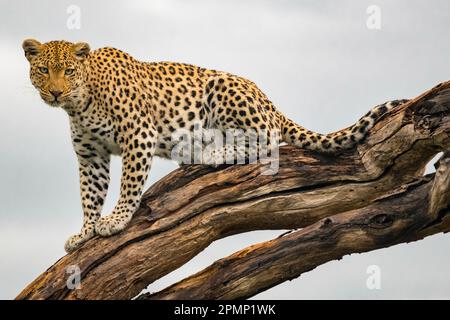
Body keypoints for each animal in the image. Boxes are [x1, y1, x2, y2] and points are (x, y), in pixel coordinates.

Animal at [21, 38, 408, 252]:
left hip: (223, 88)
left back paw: (213, 152)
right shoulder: (91, 155)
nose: (55, 92)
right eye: (43, 70)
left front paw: (115, 221)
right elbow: (90, 194)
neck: (79, 103)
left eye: (69, 71)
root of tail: (271, 102)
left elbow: (129, 185)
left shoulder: (138, 135)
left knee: (267, 139)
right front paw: (84, 233)